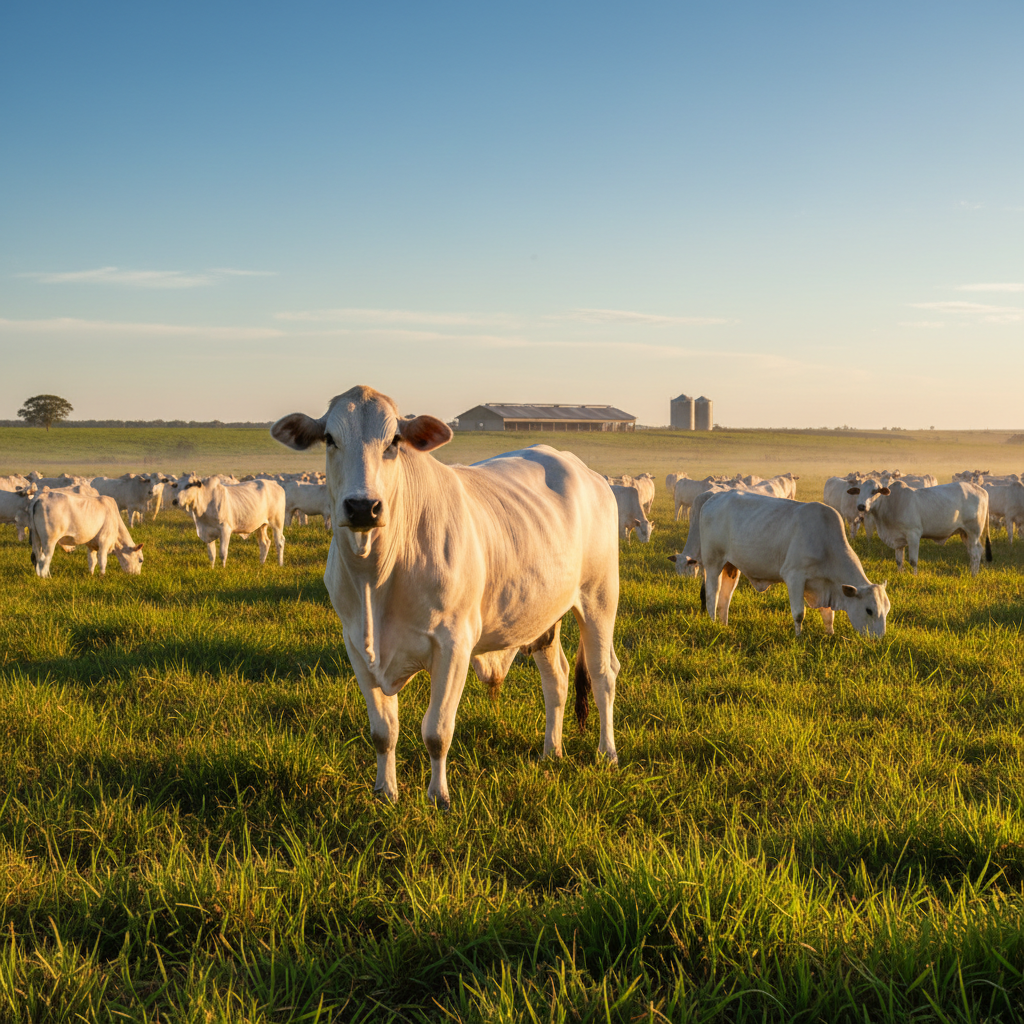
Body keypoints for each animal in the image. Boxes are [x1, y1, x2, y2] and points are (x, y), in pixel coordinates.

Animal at [270, 385, 621, 809]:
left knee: (603, 675)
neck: (376, 578)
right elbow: (383, 731)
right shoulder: (356, 646)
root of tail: (582, 469)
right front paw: (385, 792)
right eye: (329, 439)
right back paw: (550, 752)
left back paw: (607, 753)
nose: (362, 507)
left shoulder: (454, 644)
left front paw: (439, 797)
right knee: (557, 679)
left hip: (599, 599)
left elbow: (437, 731)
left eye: (394, 441)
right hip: (543, 615)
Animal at [673, 489, 889, 637]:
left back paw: (724, 625)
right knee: (712, 594)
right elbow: (799, 614)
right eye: (869, 610)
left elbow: (828, 616)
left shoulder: (825, 585)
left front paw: (830, 634)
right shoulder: (794, 577)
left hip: (731, 566)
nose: (878, 640)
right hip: (713, 563)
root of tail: (713, 498)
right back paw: (712, 621)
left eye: (886, 610)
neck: (825, 542)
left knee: (725, 598)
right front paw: (799, 637)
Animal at [855, 480, 992, 575]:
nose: (861, 506)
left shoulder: (913, 535)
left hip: (973, 532)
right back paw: (972, 571)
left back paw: (973, 575)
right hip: (964, 533)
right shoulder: (898, 540)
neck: (890, 503)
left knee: (975, 552)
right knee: (974, 552)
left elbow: (913, 560)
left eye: (874, 491)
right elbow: (899, 560)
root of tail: (982, 491)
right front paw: (900, 574)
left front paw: (914, 576)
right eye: (859, 491)